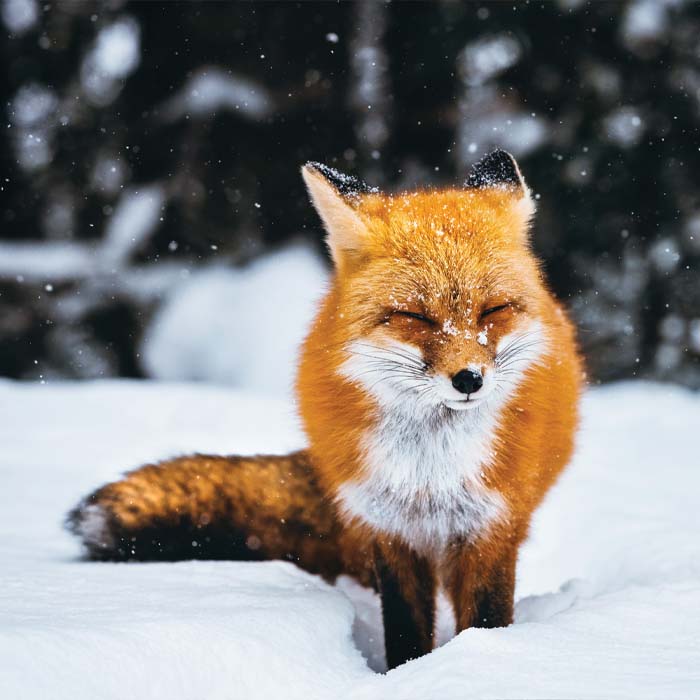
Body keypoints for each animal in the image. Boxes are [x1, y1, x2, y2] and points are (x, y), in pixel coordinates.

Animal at [67, 149, 582, 670]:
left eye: (494, 309)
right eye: (415, 316)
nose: (470, 379)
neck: (430, 470)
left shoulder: (490, 527)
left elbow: (485, 619)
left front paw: (478, 663)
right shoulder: (391, 528)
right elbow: (404, 627)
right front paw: (409, 673)